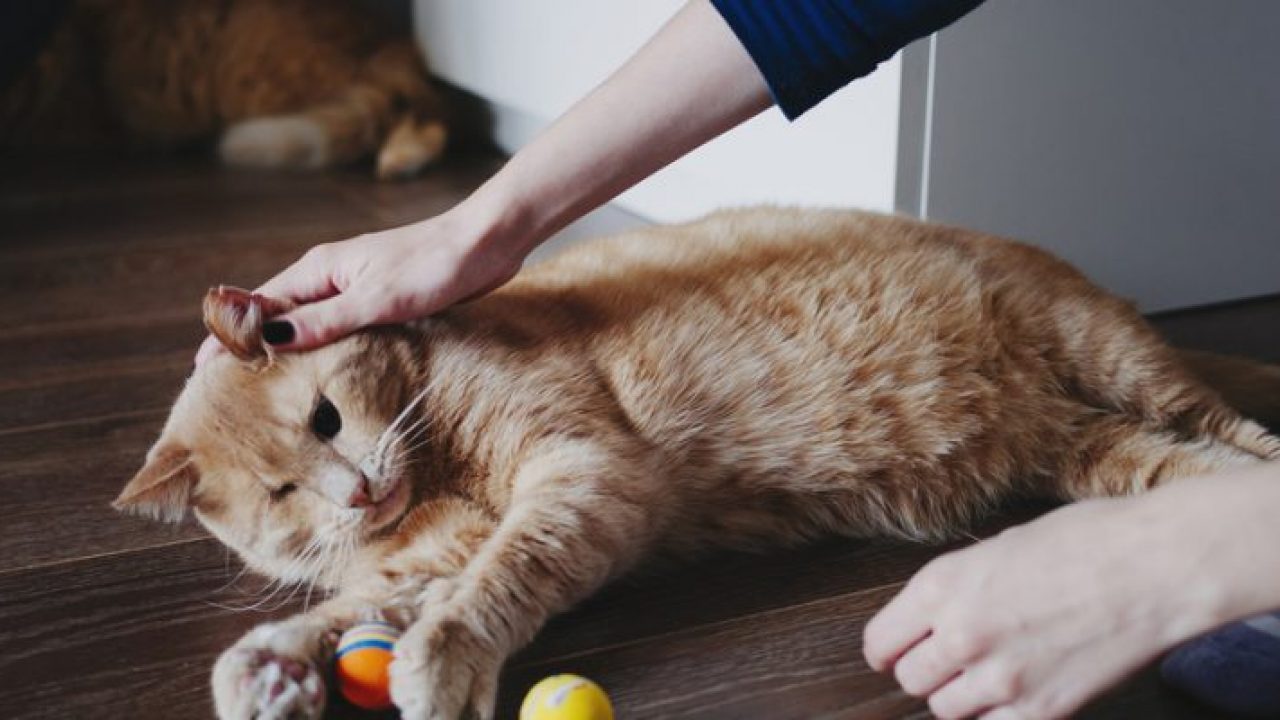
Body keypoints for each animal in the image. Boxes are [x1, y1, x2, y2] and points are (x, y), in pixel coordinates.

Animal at [117, 204, 1280, 712]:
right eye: (282, 494)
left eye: (324, 420)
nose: (357, 491)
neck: (432, 473)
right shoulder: (419, 557)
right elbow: (348, 606)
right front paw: (270, 666)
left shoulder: (582, 475)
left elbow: (495, 583)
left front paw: (443, 659)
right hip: (1103, 456)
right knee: (1186, 475)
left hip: (1113, 356)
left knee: (1234, 431)